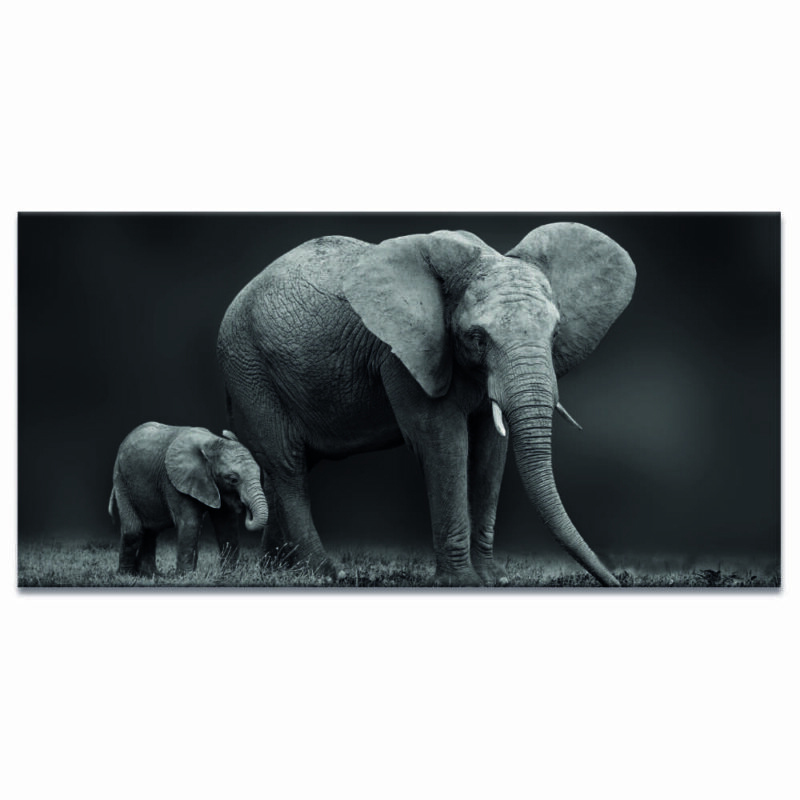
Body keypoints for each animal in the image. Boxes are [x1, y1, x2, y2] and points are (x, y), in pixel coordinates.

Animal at [109, 423, 269, 575]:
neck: (212, 442)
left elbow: (227, 524)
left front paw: (231, 574)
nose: (245, 508)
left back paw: (149, 574)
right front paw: (185, 576)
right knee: (133, 531)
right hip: (121, 479)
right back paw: (127, 575)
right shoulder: (174, 481)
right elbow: (190, 523)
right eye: (233, 479)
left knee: (151, 531)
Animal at [216, 222, 635, 586]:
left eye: (555, 333)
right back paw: (327, 573)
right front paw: (463, 583)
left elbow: (490, 449)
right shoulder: (401, 355)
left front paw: (493, 579)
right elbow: (442, 442)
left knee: (289, 464)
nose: (616, 581)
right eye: (477, 337)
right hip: (248, 368)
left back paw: (277, 571)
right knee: (288, 465)